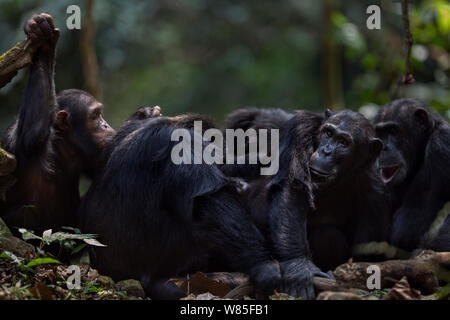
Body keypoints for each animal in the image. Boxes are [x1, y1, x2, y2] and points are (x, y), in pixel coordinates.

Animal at [0, 13, 116, 235]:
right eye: (96, 116)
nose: (106, 125)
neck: (62, 150)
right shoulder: (20, 140)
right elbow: (34, 131)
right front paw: (42, 42)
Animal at [225, 108, 390, 298]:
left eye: (343, 142)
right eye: (328, 133)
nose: (326, 151)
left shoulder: (377, 190)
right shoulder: (301, 128)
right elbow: (293, 187)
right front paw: (299, 267)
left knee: (327, 234)